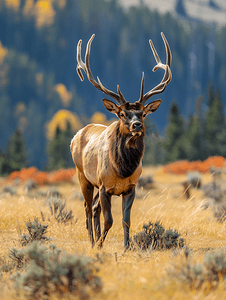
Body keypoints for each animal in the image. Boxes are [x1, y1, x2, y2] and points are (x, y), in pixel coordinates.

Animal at [70, 31, 171, 250]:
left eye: (143, 114)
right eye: (123, 114)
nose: (137, 126)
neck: (123, 169)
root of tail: (76, 135)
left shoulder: (131, 188)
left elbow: (126, 220)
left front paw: (127, 248)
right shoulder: (104, 186)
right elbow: (109, 220)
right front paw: (100, 245)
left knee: (94, 208)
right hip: (83, 175)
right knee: (87, 209)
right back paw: (92, 241)